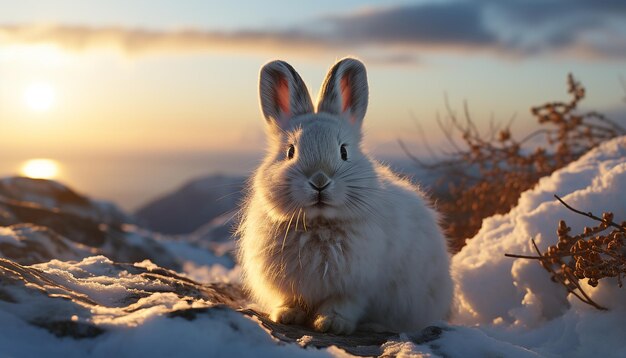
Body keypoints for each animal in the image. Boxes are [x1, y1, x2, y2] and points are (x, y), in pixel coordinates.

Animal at [236, 57, 450, 334]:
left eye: (344, 152)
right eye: (290, 151)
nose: (319, 182)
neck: (319, 223)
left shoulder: (356, 288)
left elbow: (343, 304)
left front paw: (331, 324)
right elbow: (291, 300)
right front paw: (286, 315)